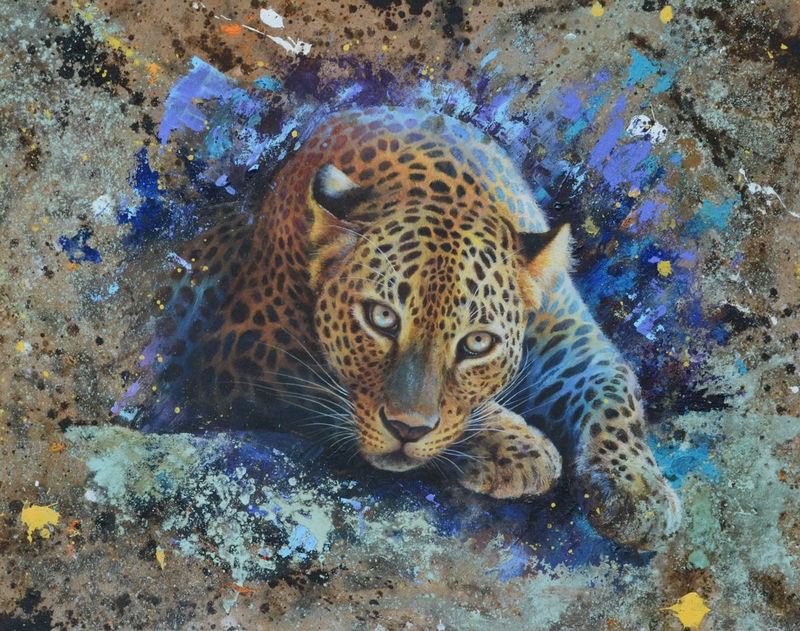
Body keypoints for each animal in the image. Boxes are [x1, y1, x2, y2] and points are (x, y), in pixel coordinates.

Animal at [149, 106, 681, 550]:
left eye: (477, 343)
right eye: (381, 319)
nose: (406, 430)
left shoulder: (569, 337)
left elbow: (614, 392)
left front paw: (641, 495)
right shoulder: (243, 345)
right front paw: (520, 448)